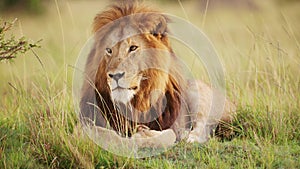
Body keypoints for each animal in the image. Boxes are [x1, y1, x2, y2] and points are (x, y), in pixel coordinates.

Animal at [80, 0, 237, 145]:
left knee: (202, 129)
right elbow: (103, 134)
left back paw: (187, 136)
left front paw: (143, 135)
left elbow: (168, 135)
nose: (115, 76)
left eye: (133, 48)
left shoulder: (172, 123)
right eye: (109, 50)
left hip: (198, 92)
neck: (136, 102)